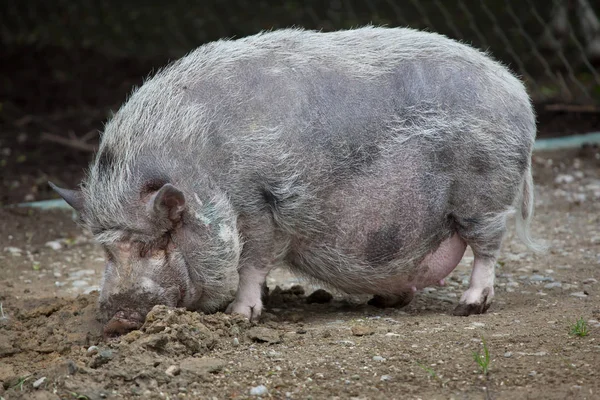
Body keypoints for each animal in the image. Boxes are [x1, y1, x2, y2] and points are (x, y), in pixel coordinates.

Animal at [51, 26, 544, 336]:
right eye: (106, 251)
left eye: (155, 244)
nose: (117, 320)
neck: (204, 174)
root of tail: (517, 92)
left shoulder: (259, 207)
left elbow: (252, 264)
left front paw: (242, 315)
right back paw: (384, 302)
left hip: (485, 193)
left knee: (488, 248)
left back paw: (469, 306)